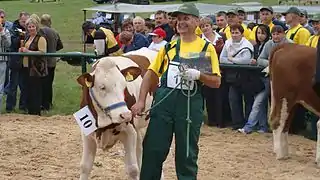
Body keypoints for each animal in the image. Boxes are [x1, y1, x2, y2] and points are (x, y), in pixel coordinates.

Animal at [75, 48, 160, 179]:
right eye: (102, 87)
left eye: (124, 86)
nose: (125, 115)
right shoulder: (87, 134)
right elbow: (85, 166)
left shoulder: (130, 132)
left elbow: (133, 169)